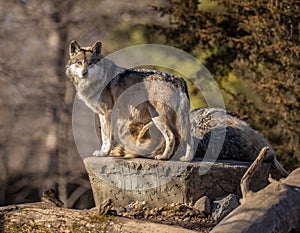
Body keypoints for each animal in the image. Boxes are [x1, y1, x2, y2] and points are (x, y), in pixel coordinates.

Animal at [65, 40, 195, 160]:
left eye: (90, 63)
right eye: (79, 63)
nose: (84, 73)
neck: (97, 81)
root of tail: (179, 79)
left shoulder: (108, 113)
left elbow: (108, 137)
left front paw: (105, 153)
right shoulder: (102, 114)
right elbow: (104, 136)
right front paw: (102, 152)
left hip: (159, 118)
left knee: (172, 136)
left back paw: (164, 157)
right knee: (184, 136)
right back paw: (185, 159)